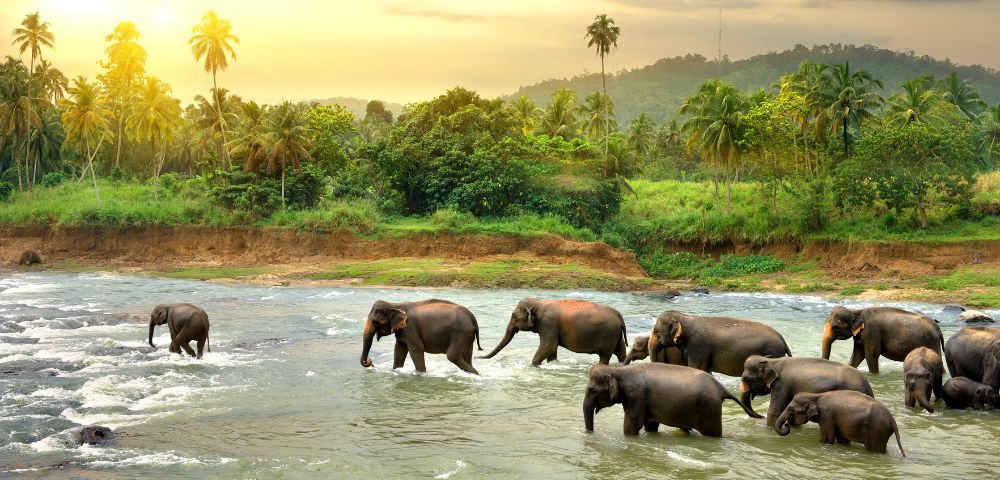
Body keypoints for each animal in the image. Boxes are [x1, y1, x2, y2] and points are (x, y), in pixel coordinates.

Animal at [480, 298, 627, 366]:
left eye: (514, 316)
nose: (478, 356)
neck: (538, 303)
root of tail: (619, 316)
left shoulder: (548, 324)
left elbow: (548, 346)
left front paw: (534, 365)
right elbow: (552, 350)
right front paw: (552, 364)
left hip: (609, 335)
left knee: (605, 356)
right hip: (616, 336)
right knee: (621, 353)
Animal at [584, 363, 761, 437]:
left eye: (592, 390)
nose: (590, 434)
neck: (617, 369)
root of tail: (722, 388)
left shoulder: (635, 396)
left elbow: (632, 425)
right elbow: (650, 425)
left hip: (709, 409)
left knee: (713, 434)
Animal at [647, 310, 791, 377]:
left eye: (656, 331)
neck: (684, 317)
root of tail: (782, 339)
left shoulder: (698, 348)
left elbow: (695, 368)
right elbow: (706, 371)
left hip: (773, 352)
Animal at [773, 390, 905, 456]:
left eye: (791, 409)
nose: (786, 425)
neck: (816, 395)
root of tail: (891, 418)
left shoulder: (827, 415)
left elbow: (827, 439)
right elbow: (843, 440)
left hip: (876, 430)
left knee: (874, 449)